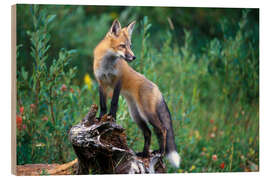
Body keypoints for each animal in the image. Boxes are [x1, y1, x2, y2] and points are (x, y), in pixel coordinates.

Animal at [94, 19, 180, 167]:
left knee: (162, 129)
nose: (134, 57)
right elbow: (103, 104)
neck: (107, 64)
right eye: (122, 46)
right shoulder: (101, 83)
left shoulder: (118, 81)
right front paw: (101, 118)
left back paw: (161, 152)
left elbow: (114, 103)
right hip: (136, 115)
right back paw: (145, 154)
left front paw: (112, 118)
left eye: (130, 45)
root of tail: (157, 88)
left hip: (147, 113)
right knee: (148, 132)